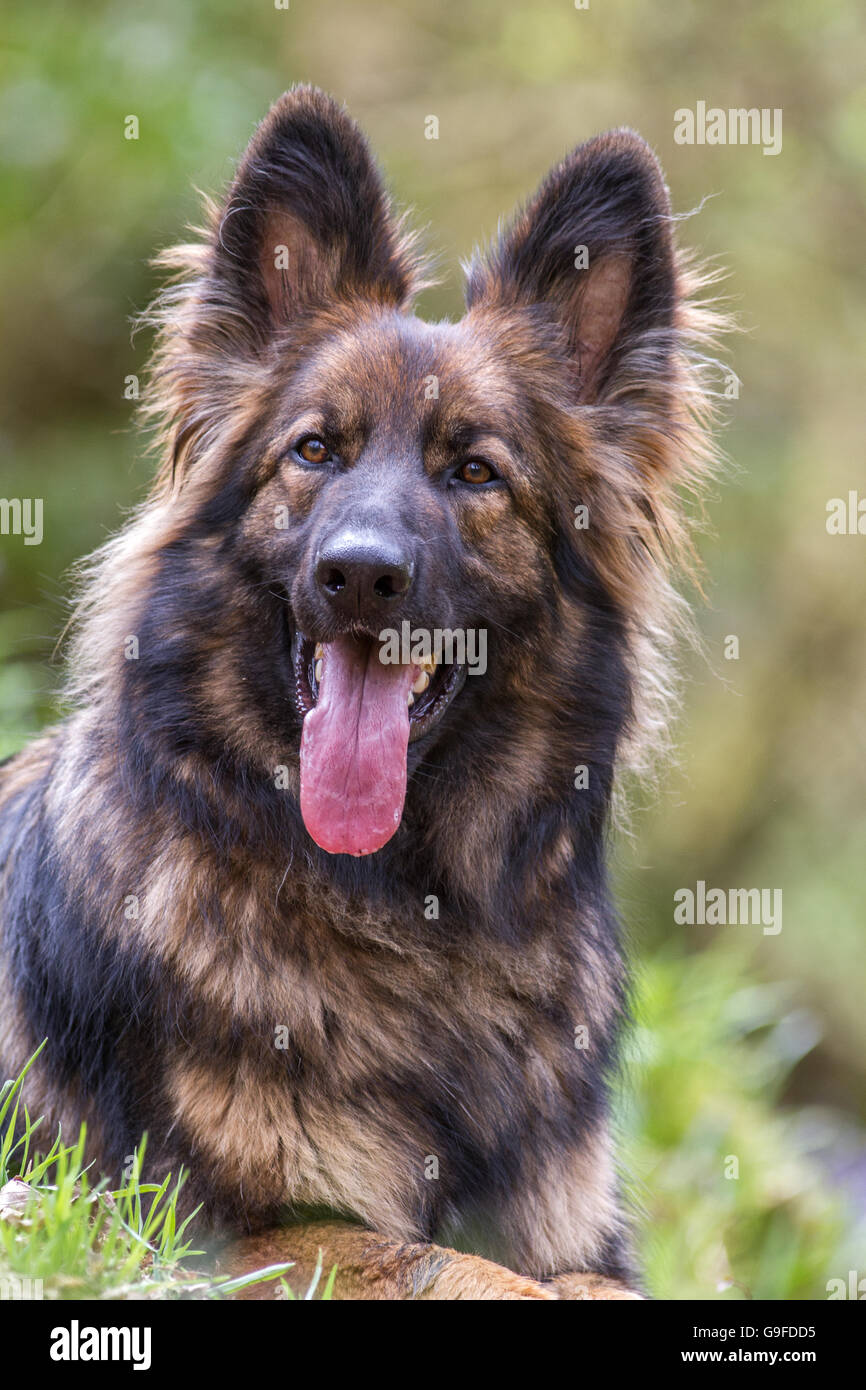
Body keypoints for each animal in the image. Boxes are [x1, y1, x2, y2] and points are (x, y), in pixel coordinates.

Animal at [0, 86, 722, 1301]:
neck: (409, 911)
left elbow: (576, 1279)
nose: (358, 573)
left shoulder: (578, 1235)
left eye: (474, 471)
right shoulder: (229, 1233)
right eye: (314, 452)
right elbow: (451, 1262)